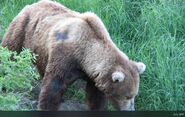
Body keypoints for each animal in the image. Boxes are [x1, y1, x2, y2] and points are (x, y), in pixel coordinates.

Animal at [1, 0, 146, 110]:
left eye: (134, 95)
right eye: (127, 96)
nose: (130, 110)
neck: (84, 56)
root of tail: (33, 4)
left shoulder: (93, 75)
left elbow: (95, 97)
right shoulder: (64, 58)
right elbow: (53, 88)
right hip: (23, 28)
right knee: (10, 50)